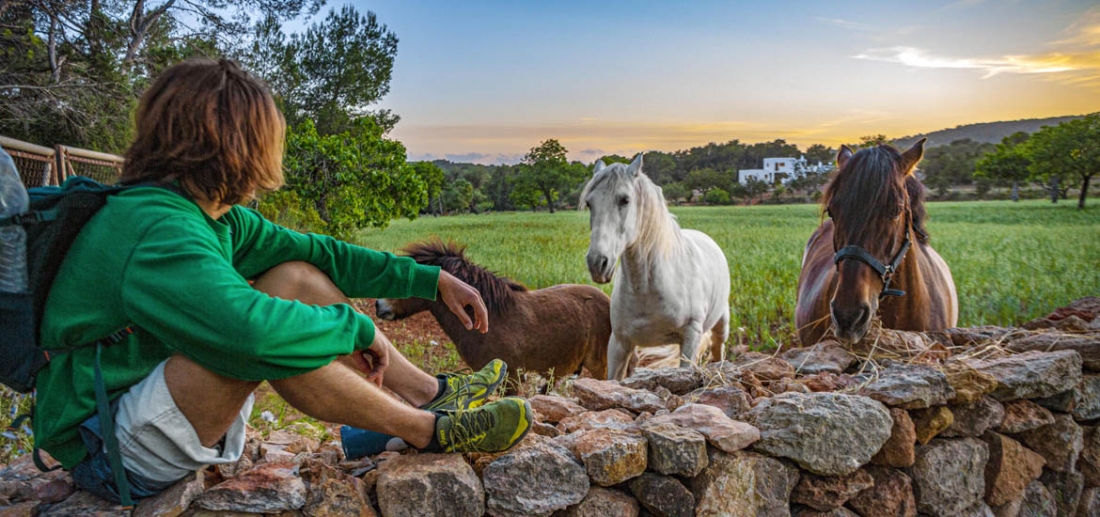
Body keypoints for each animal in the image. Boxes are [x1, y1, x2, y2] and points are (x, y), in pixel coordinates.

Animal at [376, 239, 620, 380]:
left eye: (407, 278)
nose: (378, 305)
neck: (489, 319)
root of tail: (607, 300)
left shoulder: (511, 375)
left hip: (599, 366)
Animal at [580, 154, 734, 380]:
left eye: (624, 200)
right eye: (589, 203)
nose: (597, 263)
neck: (647, 289)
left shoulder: (690, 337)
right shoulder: (620, 344)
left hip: (721, 325)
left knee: (718, 350)